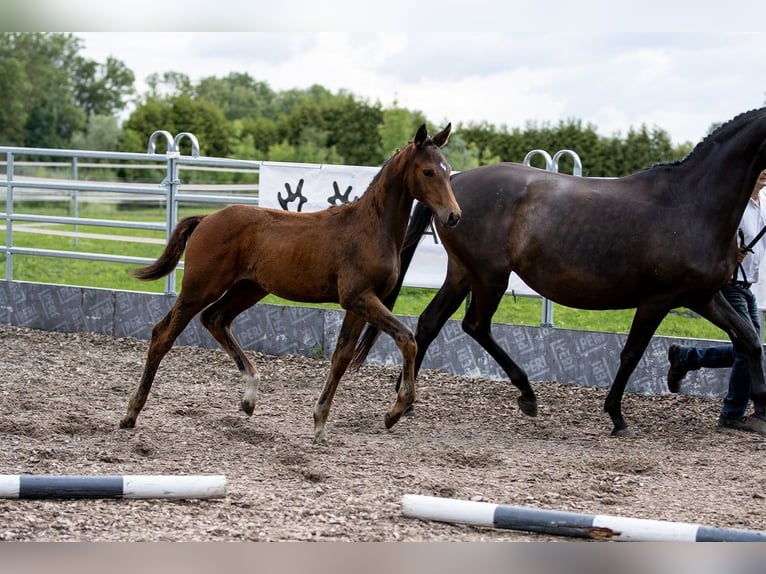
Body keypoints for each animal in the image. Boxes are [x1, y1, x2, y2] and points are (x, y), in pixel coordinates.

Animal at [117, 124, 460, 444]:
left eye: (448, 171)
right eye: (427, 171)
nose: (453, 216)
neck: (370, 228)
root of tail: (207, 218)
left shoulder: (358, 304)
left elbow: (341, 356)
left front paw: (320, 424)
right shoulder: (359, 298)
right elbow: (407, 338)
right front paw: (396, 410)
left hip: (249, 288)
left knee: (215, 318)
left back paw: (249, 397)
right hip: (200, 288)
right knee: (164, 333)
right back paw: (131, 412)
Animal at [356, 108, 766, 438]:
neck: (691, 204)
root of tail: (454, 183)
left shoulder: (703, 296)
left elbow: (749, 339)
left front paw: (759, 412)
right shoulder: (657, 300)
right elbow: (631, 354)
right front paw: (617, 417)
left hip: (462, 274)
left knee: (429, 323)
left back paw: (406, 401)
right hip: (490, 277)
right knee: (475, 325)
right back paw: (526, 395)